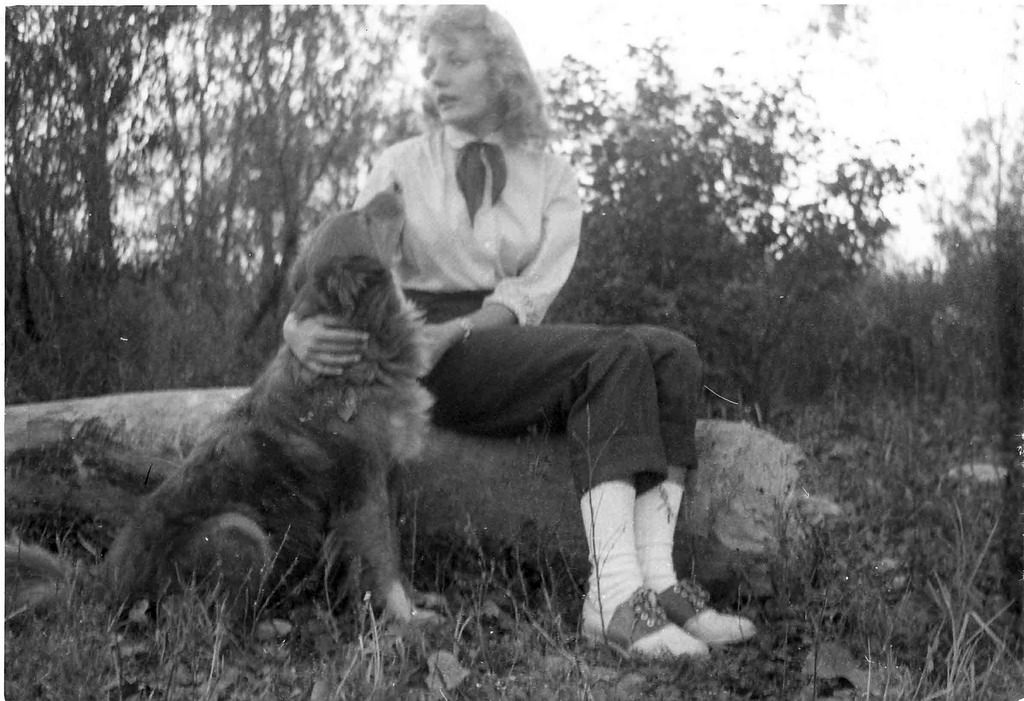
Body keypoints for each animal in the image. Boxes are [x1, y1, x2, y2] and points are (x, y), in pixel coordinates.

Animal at [6, 191, 442, 622]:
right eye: (364, 218)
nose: (398, 188)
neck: (359, 353)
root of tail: (104, 583)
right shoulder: (363, 493)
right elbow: (381, 567)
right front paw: (407, 621)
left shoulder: (387, 480)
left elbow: (395, 557)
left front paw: (417, 601)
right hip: (238, 532)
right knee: (204, 620)